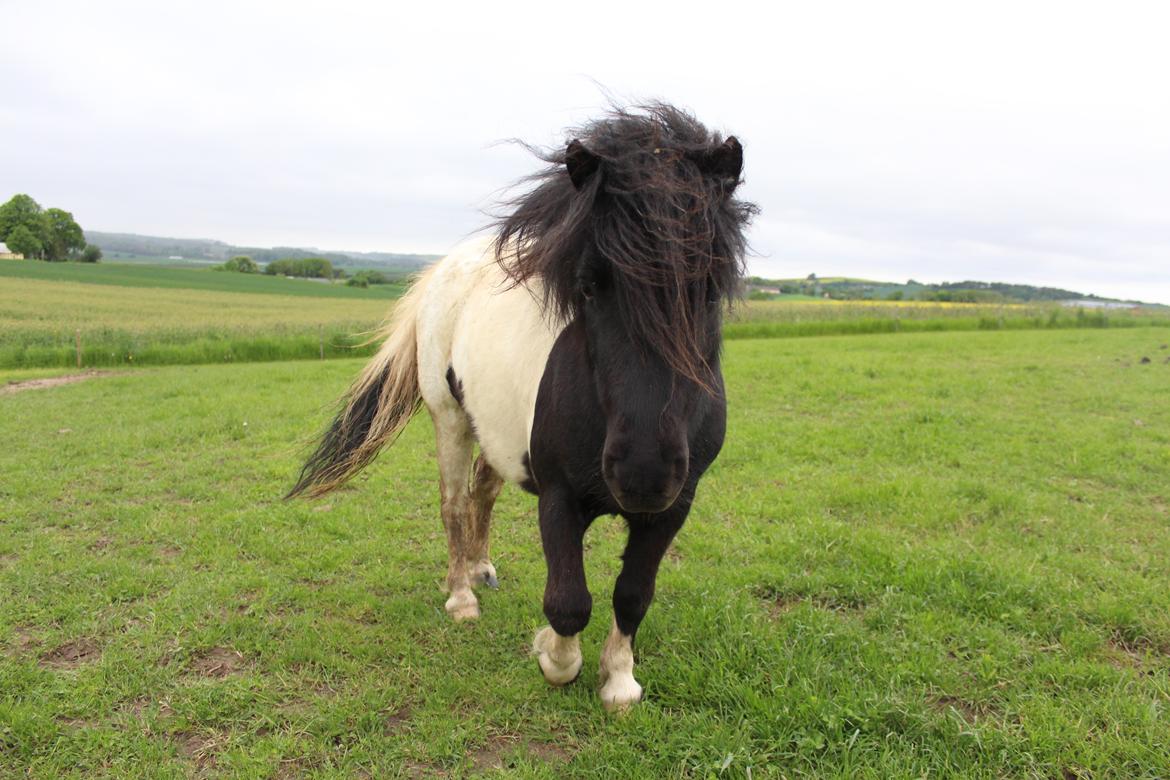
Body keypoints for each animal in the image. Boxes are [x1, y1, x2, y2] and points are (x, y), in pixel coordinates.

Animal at [287, 105, 753, 715]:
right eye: (588, 286)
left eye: (709, 288)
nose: (643, 474)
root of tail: (444, 270)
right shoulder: (559, 496)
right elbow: (568, 602)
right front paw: (554, 656)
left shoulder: (674, 506)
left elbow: (633, 595)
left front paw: (619, 680)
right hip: (451, 419)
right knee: (454, 505)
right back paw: (462, 597)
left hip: (496, 430)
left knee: (483, 492)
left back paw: (481, 568)